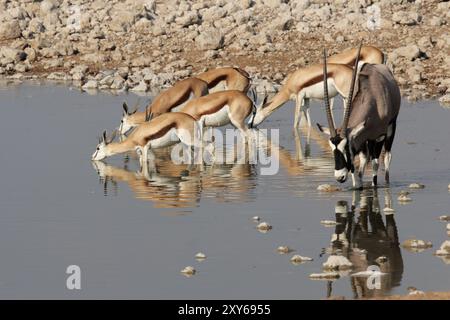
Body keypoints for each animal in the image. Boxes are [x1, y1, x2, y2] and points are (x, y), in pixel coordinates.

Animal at [251, 45, 384, 130]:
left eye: (254, 113)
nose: (250, 125)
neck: (293, 81)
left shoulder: (299, 97)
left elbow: (296, 118)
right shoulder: (307, 98)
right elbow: (308, 116)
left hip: (347, 93)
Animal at [316, 45, 400, 190]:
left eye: (346, 148)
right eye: (332, 149)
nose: (339, 177)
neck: (372, 97)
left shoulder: (379, 136)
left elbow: (375, 164)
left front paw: (374, 186)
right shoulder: (361, 138)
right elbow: (357, 169)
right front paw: (358, 186)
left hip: (390, 127)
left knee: (387, 157)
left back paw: (387, 183)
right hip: (367, 140)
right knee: (365, 158)